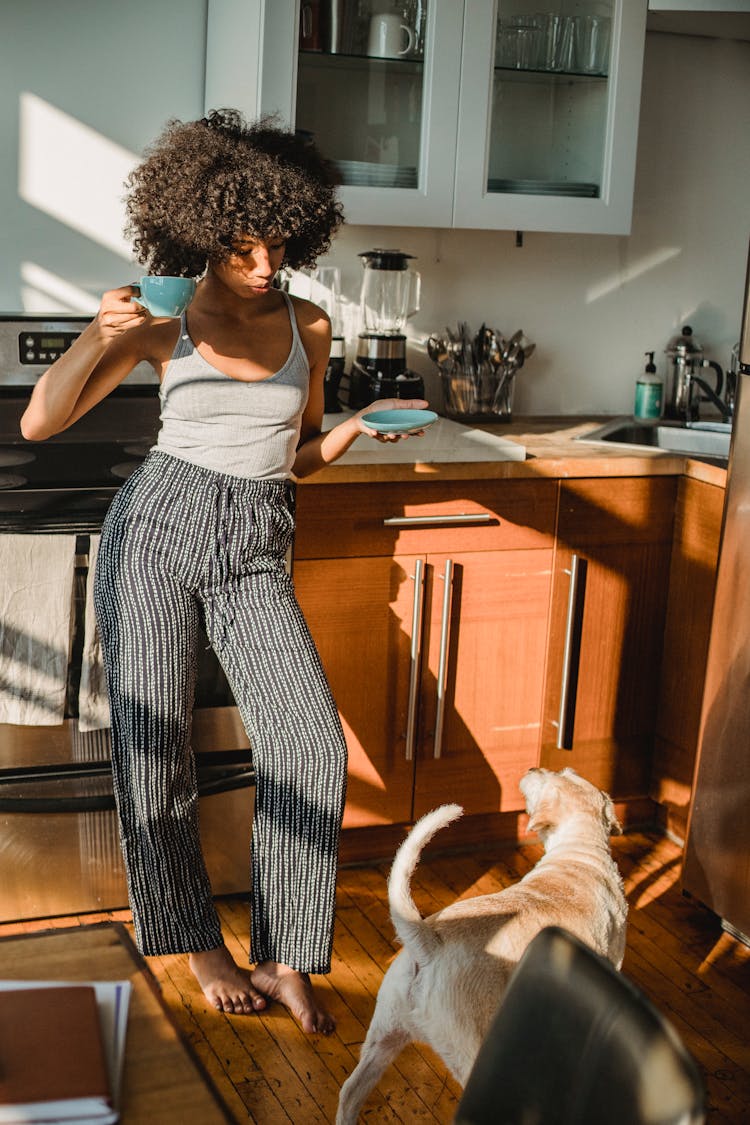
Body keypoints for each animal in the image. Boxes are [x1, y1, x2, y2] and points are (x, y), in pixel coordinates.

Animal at [335, 765, 629, 1125]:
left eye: (563, 771)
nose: (534, 767)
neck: (580, 851)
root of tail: (428, 942)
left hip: (384, 1033)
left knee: (350, 1092)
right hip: (469, 1050)